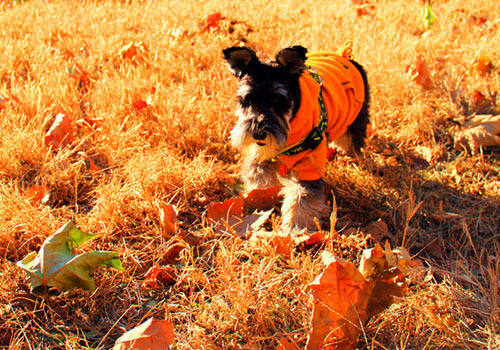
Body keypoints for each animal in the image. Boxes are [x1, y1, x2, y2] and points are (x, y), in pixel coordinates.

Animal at [223, 45, 372, 234]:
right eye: (248, 99)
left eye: (278, 100)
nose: (258, 133)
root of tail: (345, 56)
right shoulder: (262, 156)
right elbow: (260, 178)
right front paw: (260, 200)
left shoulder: (309, 164)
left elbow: (303, 198)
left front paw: (295, 228)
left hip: (353, 120)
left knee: (351, 141)